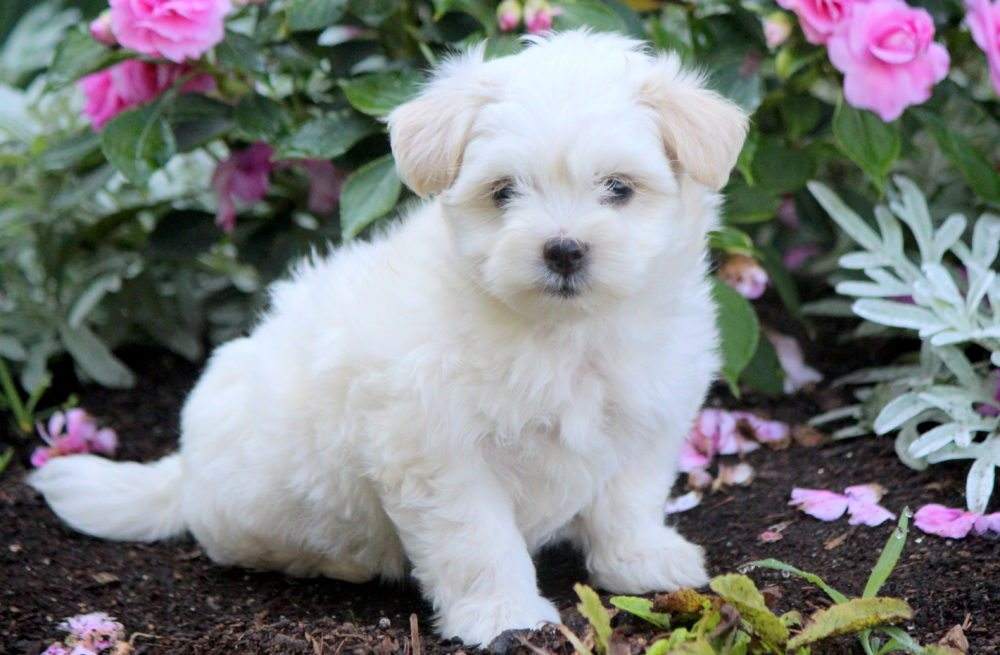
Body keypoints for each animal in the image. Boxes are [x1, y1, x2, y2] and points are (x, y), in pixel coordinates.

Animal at [31, 29, 748, 644]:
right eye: (503, 192)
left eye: (619, 188)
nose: (564, 249)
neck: (563, 332)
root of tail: (184, 470)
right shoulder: (440, 451)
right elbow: (477, 539)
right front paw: (504, 614)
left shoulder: (646, 416)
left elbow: (629, 498)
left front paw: (643, 561)